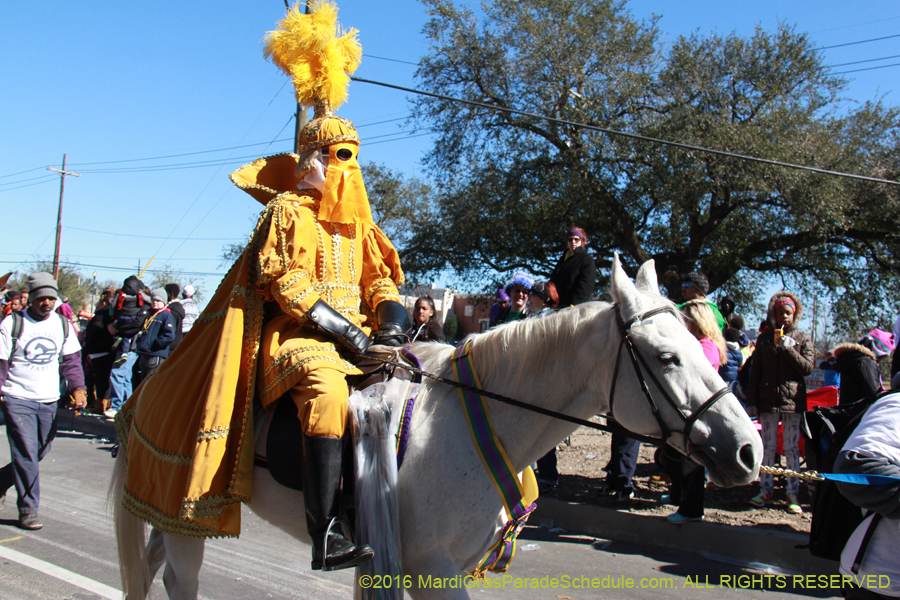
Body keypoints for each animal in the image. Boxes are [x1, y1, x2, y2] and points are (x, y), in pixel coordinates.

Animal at [110, 258, 760, 600]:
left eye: (703, 348)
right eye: (667, 357)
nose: (748, 450)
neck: (476, 422)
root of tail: (146, 388)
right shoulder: (432, 567)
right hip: (187, 516)